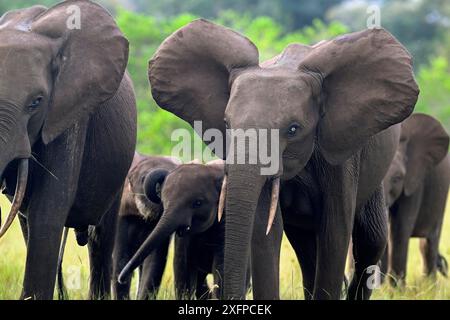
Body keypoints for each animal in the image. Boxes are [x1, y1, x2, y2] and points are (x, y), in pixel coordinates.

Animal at [112, 154, 225, 298]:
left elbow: (154, 261)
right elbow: (121, 257)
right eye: (142, 179)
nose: (122, 278)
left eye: (198, 203)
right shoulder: (123, 212)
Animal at [143, 19, 418, 300]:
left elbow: (335, 231)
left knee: (370, 240)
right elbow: (265, 232)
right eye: (226, 124)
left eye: (293, 129)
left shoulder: (341, 157)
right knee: (307, 248)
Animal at [380, 113, 450, 284]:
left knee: (427, 244)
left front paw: (396, 289)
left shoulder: (415, 182)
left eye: (397, 178)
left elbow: (399, 230)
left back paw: (429, 286)